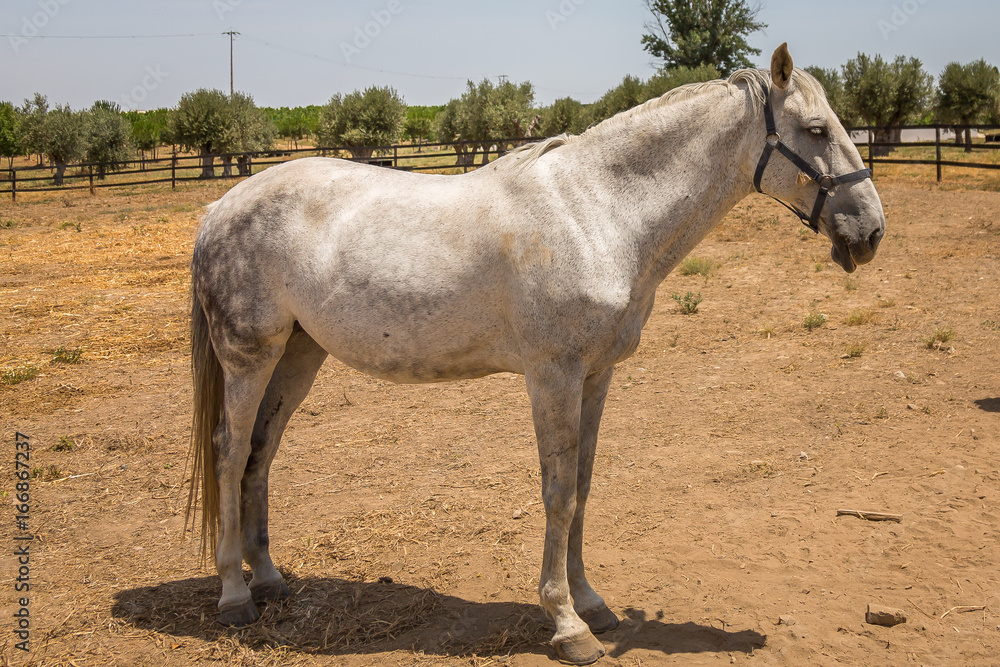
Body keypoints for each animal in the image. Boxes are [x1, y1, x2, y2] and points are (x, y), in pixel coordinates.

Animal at [186, 44, 884, 664]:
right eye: (816, 129)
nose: (871, 231)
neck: (597, 212)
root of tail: (220, 207)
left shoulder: (596, 375)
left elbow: (584, 486)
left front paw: (591, 602)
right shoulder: (554, 375)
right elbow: (558, 492)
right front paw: (567, 624)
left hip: (298, 356)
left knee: (260, 454)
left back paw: (270, 579)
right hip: (250, 358)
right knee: (229, 452)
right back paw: (234, 595)